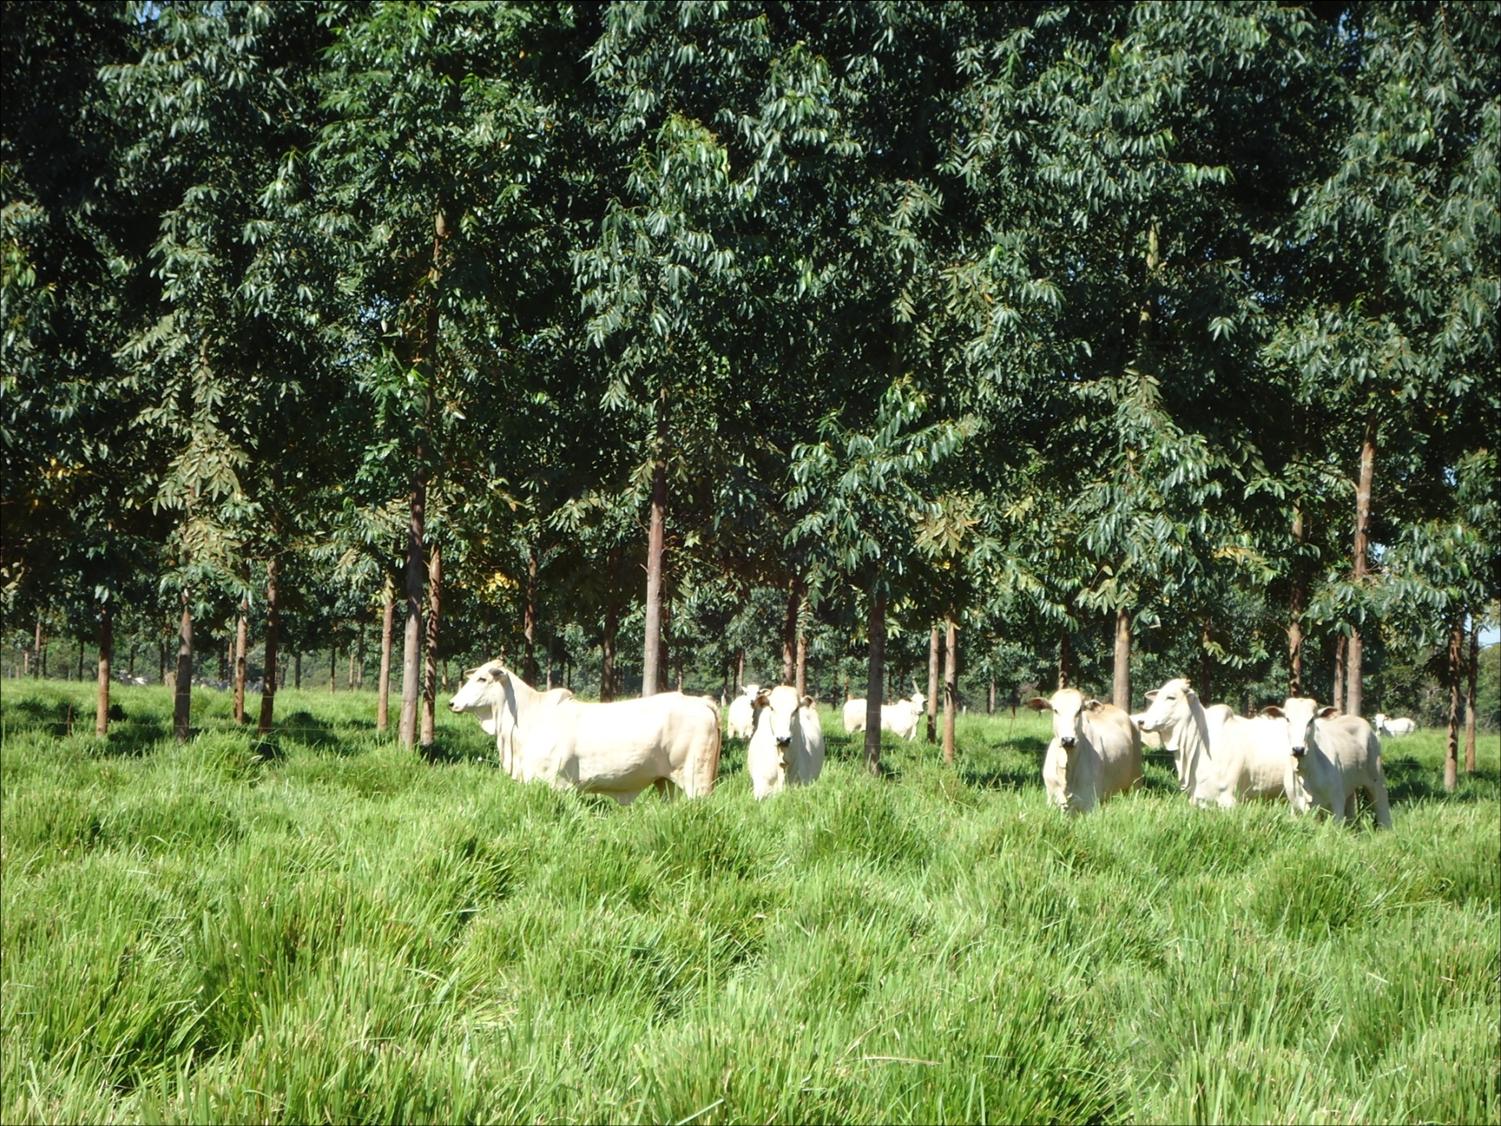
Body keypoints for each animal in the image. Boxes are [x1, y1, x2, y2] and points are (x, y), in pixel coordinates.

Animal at [447, 660, 723, 810]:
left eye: (482, 679)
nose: (452, 703)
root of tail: (702, 702)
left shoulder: (554, 783)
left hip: (697, 780)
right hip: (667, 783)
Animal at [1026, 684, 1140, 816]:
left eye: (1079, 710)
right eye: (1055, 710)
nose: (1068, 740)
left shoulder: (1089, 804)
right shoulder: (1051, 800)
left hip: (1136, 782)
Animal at [1260, 696, 1386, 828]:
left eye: (1311, 720)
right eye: (1287, 719)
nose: (1298, 749)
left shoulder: (1337, 801)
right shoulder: (1296, 806)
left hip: (1376, 778)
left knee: (1382, 805)